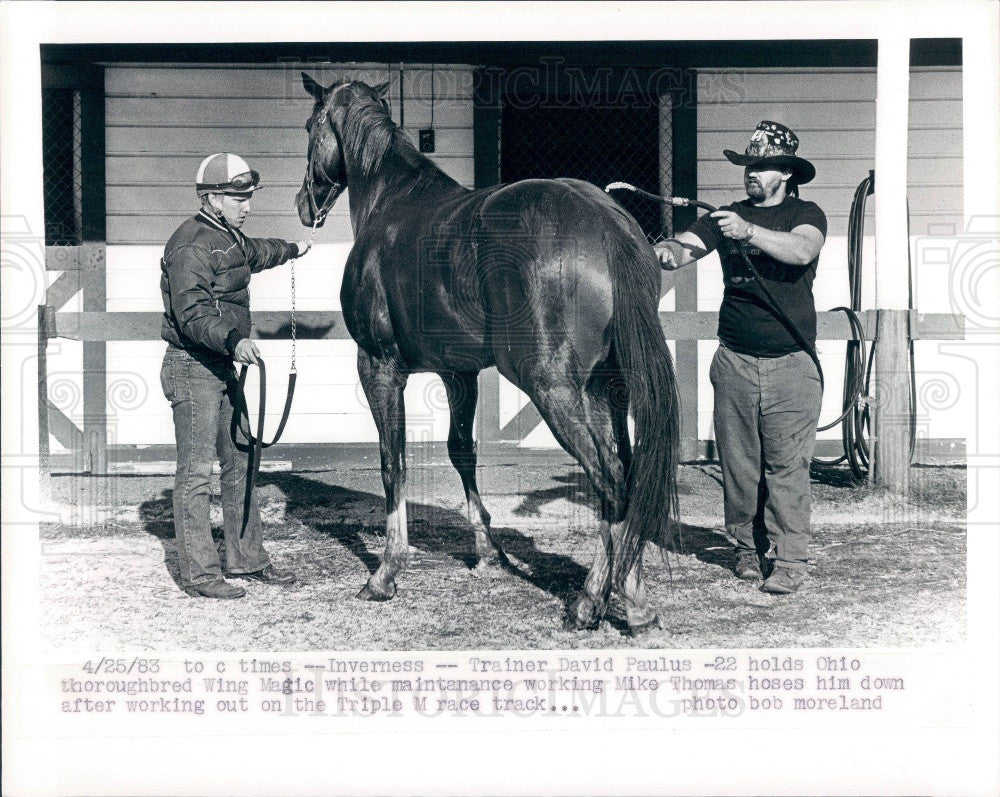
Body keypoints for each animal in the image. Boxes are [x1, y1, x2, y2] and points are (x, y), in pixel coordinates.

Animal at [292, 76, 676, 636]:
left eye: (310, 126)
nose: (305, 203)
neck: (392, 201)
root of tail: (607, 226)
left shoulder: (379, 367)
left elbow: (392, 461)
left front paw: (386, 573)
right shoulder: (460, 372)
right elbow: (460, 451)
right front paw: (488, 553)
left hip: (554, 389)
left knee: (611, 480)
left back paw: (598, 601)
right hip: (607, 389)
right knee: (627, 476)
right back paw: (627, 595)